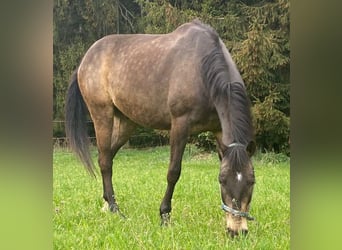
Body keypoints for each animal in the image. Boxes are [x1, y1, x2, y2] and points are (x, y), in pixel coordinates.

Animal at [65, 19, 255, 236]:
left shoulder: (219, 131)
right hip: (102, 114)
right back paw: (115, 209)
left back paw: (106, 203)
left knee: (108, 157)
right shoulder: (180, 125)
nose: (237, 231)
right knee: (105, 161)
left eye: (252, 181)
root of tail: (84, 60)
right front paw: (164, 215)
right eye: (222, 180)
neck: (202, 70)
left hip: (127, 123)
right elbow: (173, 172)